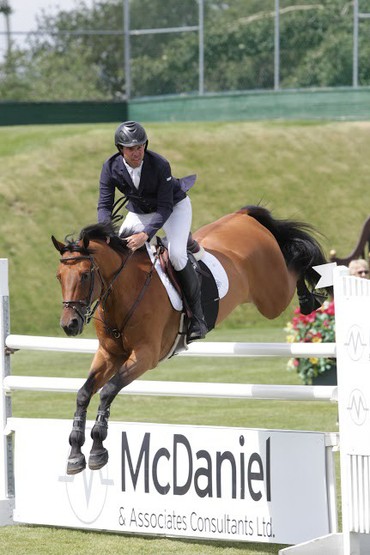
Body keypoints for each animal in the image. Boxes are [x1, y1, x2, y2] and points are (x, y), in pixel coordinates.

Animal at [51, 206, 330, 476]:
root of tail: (242, 215)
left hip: (274, 296)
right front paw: (75, 453)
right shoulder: (109, 354)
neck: (125, 290)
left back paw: (310, 298)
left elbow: (108, 390)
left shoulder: (145, 356)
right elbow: (84, 393)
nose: (69, 325)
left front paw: (98, 450)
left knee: (295, 263)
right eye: (59, 276)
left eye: (85, 275)